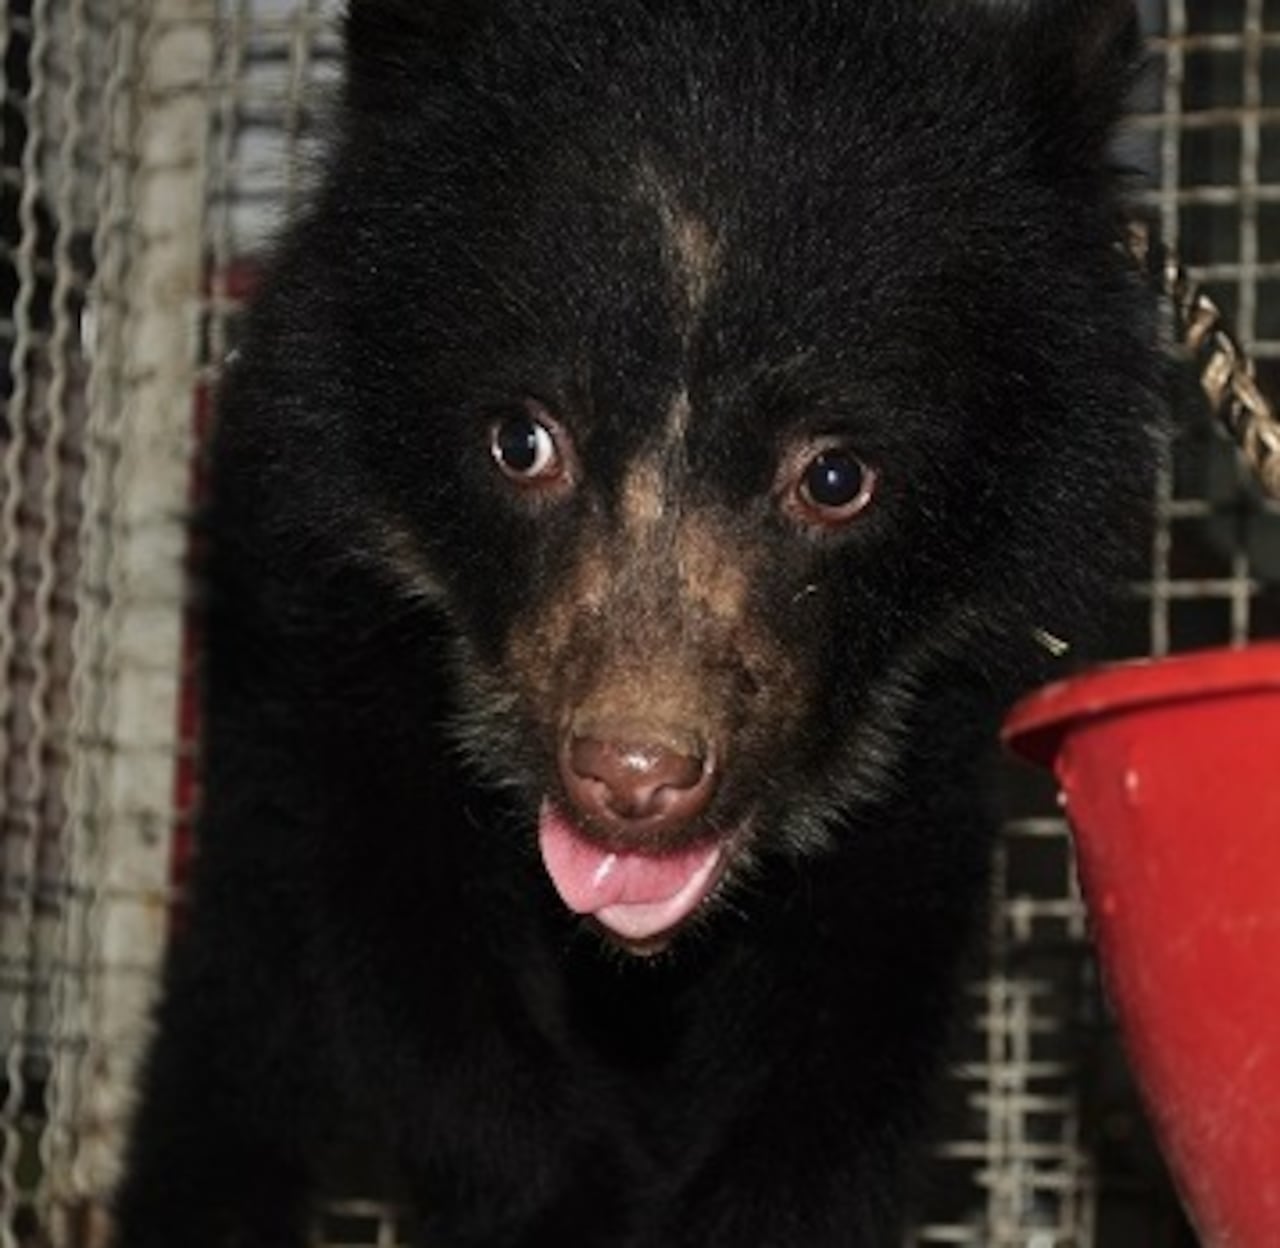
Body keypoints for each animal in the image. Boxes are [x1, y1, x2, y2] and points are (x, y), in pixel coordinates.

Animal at [112, 1, 1165, 1245]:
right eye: (520, 441)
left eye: (836, 476)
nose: (633, 775)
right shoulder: (336, 625)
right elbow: (408, 958)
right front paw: (568, 1202)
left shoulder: (928, 711)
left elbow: (857, 999)